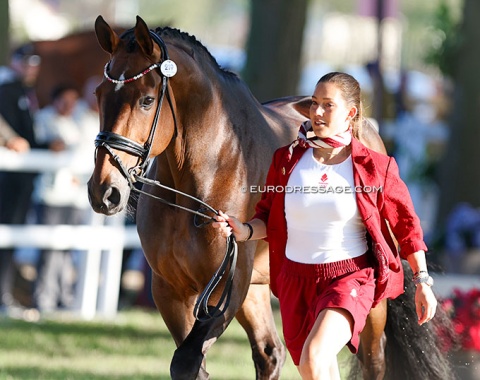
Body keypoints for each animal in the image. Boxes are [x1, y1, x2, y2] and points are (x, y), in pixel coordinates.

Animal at [87, 15, 454, 380]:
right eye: (99, 93)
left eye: (147, 100)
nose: (104, 191)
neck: (197, 182)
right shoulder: (170, 292)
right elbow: (193, 365)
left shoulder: (225, 289)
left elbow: (187, 361)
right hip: (259, 289)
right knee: (272, 353)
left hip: (369, 306)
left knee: (370, 359)